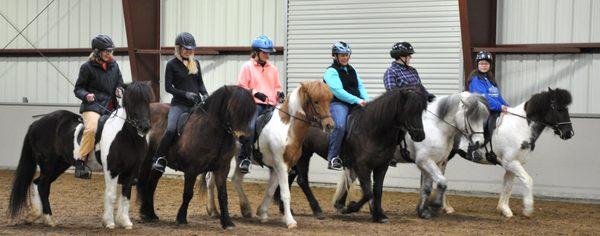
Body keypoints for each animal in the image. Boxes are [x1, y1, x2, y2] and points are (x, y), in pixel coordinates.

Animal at [8, 80, 154, 229]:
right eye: (131, 101)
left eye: (148, 100)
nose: (144, 127)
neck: (127, 137)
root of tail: (36, 123)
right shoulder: (111, 170)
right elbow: (111, 195)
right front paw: (109, 222)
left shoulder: (132, 171)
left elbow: (126, 196)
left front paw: (125, 221)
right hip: (49, 164)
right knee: (42, 185)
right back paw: (49, 219)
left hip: (59, 165)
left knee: (39, 184)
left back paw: (40, 216)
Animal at [137, 85, 255, 229]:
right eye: (233, 108)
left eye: (251, 111)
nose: (244, 137)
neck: (213, 131)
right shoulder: (191, 169)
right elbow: (188, 194)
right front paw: (181, 218)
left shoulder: (222, 168)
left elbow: (223, 195)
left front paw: (227, 222)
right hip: (146, 161)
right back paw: (145, 213)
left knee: (152, 184)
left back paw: (150, 214)